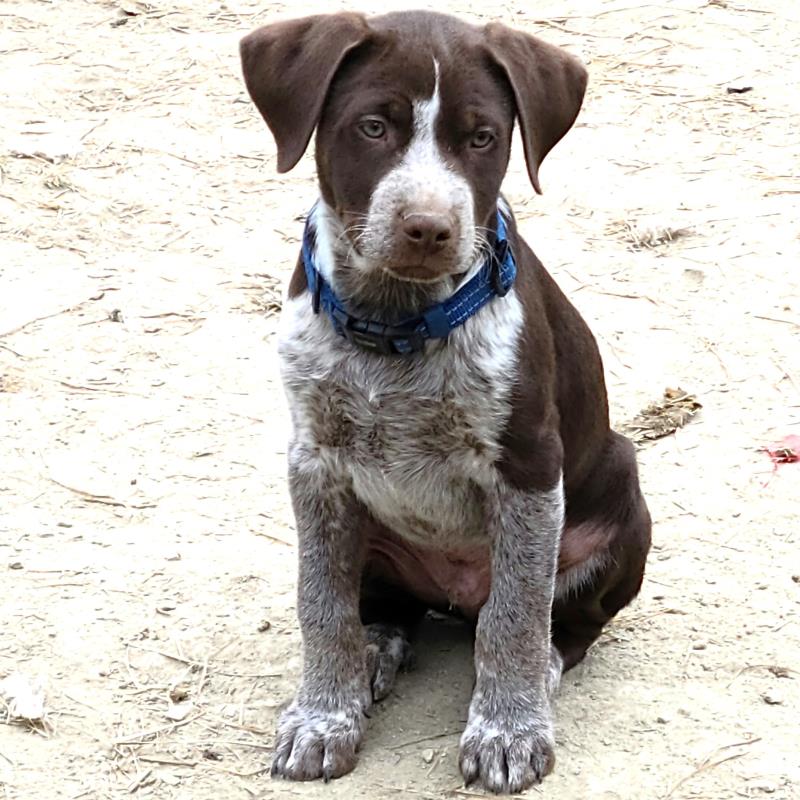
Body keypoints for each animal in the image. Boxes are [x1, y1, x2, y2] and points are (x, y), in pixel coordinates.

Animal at [239, 10, 648, 792]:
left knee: (562, 623)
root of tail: (453, 594)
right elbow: (321, 604)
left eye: (481, 138)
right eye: (373, 127)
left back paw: (543, 670)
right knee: (386, 607)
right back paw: (375, 649)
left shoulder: (529, 469)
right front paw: (323, 716)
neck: (393, 326)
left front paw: (508, 729)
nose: (429, 227)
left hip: (624, 501)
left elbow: (515, 617)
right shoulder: (315, 465)